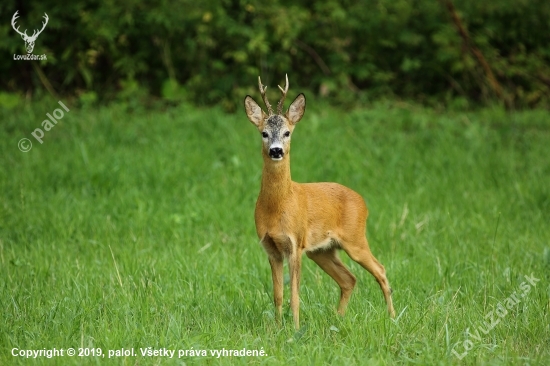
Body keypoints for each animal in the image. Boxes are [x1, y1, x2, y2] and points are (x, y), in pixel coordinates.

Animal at [244, 74, 394, 328]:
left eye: (287, 133)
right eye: (264, 133)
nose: (276, 151)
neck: (278, 206)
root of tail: (363, 202)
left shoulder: (295, 243)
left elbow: (294, 294)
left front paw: (294, 328)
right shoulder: (270, 247)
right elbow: (278, 294)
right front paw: (276, 328)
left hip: (355, 239)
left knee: (380, 270)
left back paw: (392, 317)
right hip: (322, 250)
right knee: (349, 278)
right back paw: (338, 318)